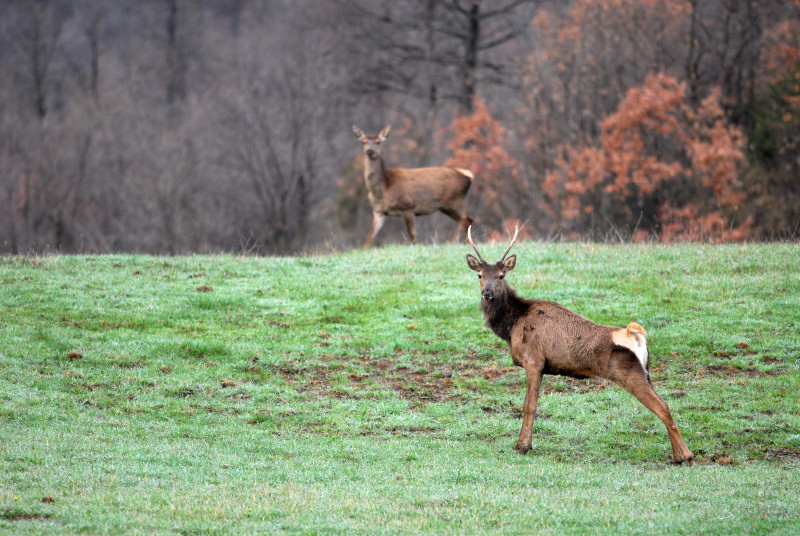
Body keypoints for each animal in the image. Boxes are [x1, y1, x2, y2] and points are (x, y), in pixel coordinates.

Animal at [466, 224, 692, 462]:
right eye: (479, 275)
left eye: (501, 276)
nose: (487, 292)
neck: (512, 327)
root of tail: (635, 335)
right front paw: (522, 444)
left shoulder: (534, 361)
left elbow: (530, 405)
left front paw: (523, 446)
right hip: (647, 372)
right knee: (664, 403)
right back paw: (677, 456)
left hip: (630, 373)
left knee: (662, 406)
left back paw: (687, 455)